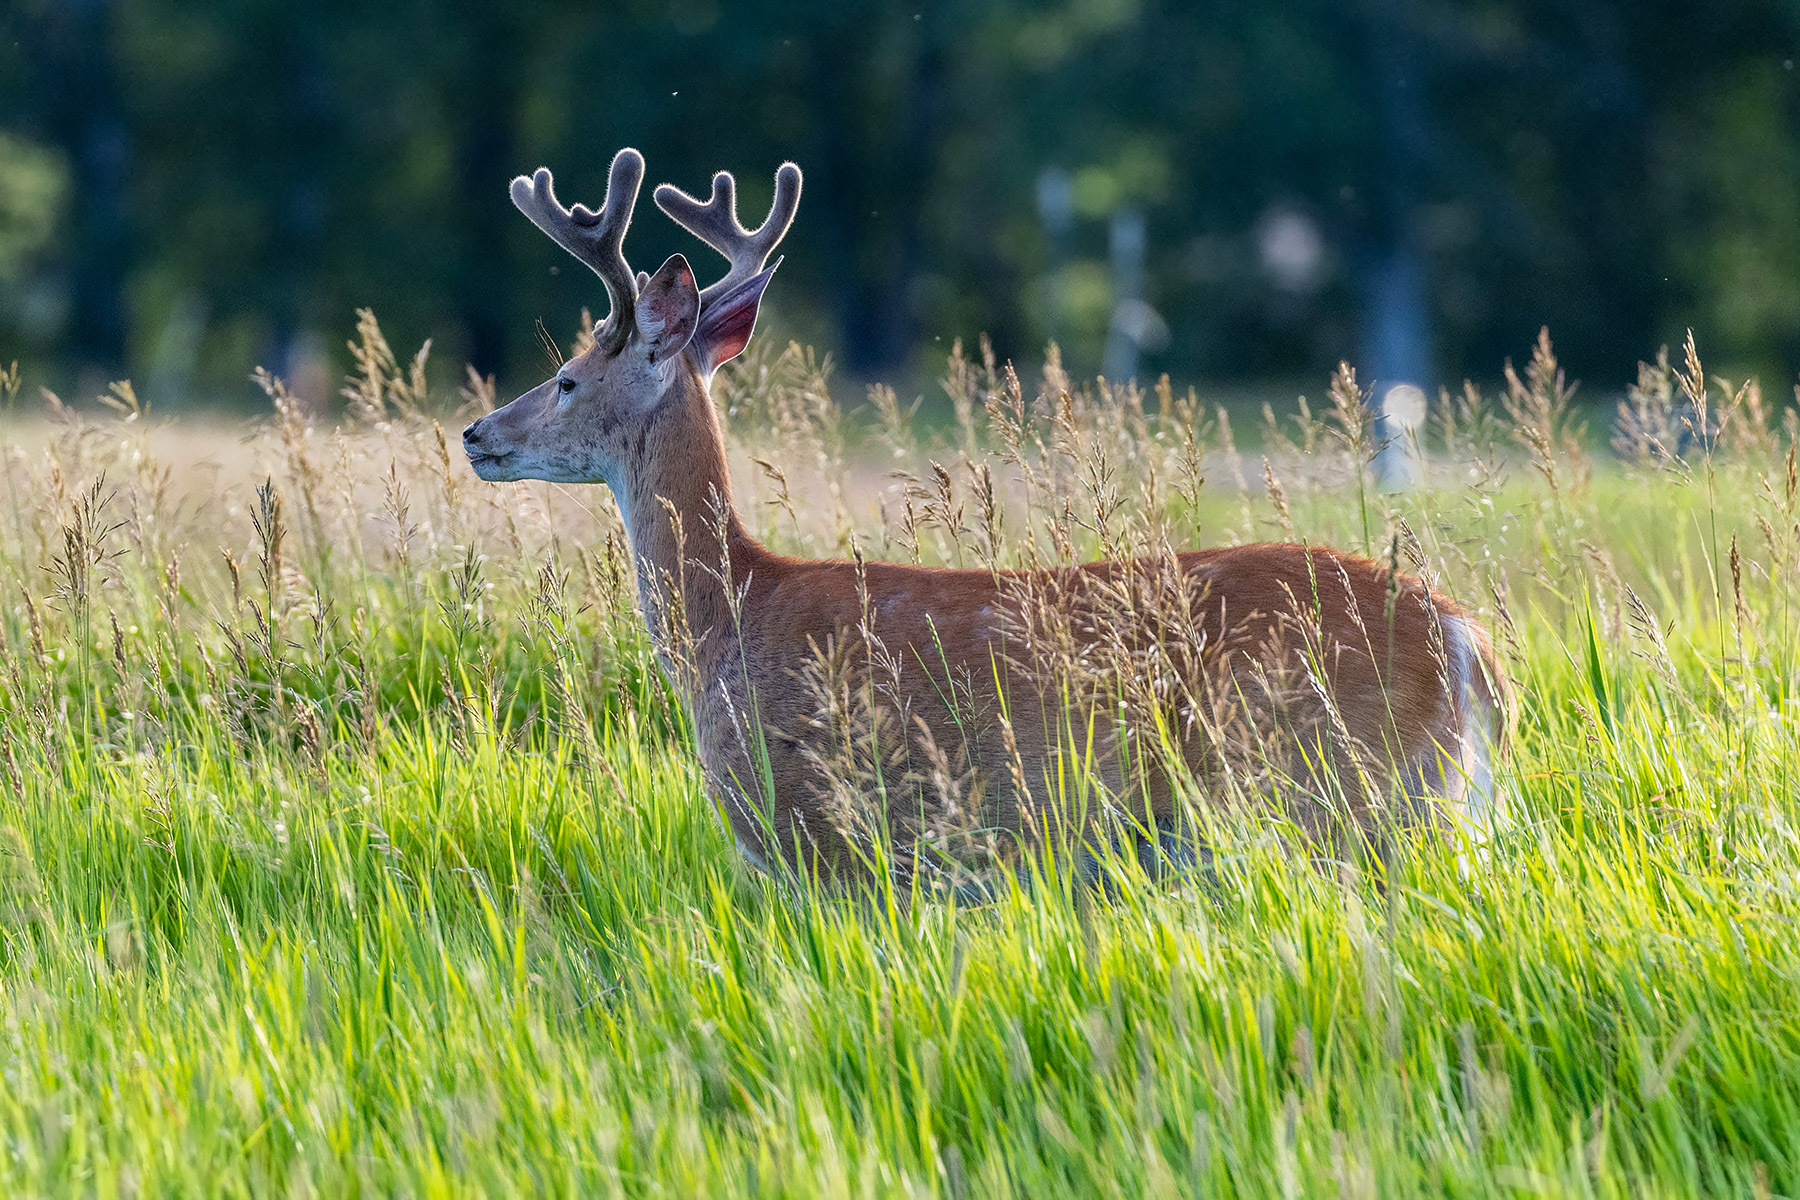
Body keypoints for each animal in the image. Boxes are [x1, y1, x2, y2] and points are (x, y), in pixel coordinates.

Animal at [462, 146, 1508, 896]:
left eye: (566, 378)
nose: (477, 433)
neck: (727, 623)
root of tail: (1468, 642)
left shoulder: (824, 836)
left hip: (1343, 798)